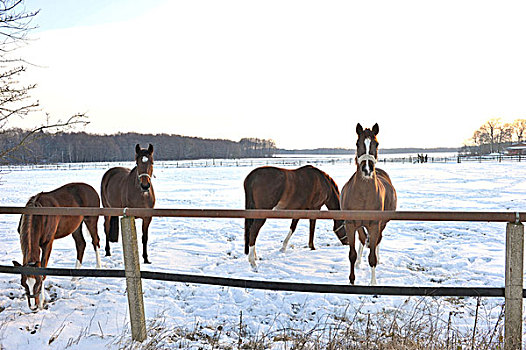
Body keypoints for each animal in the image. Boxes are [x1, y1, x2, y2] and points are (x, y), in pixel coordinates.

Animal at [12, 182, 102, 310]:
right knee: (81, 244)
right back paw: (74, 277)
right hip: (76, 226)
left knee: (95, 241)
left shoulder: (47, 244)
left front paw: (42, 301)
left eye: (38, 283)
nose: (33, 307)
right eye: (23, 284)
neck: (38, 216)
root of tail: (91, 188)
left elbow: (43, 269)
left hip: (91, 220)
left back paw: (98, 267)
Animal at [340, 123, 398, 284]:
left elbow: (372, 256)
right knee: (362, 240)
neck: (364, 195)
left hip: (381, 224)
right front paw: (351, 280)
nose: (367, 169)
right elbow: (352, 254)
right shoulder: (350, 224)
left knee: (377, 241)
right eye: (357, 143)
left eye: (376, 143)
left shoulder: (374, 225)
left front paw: (373, 283)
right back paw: (359, 262)